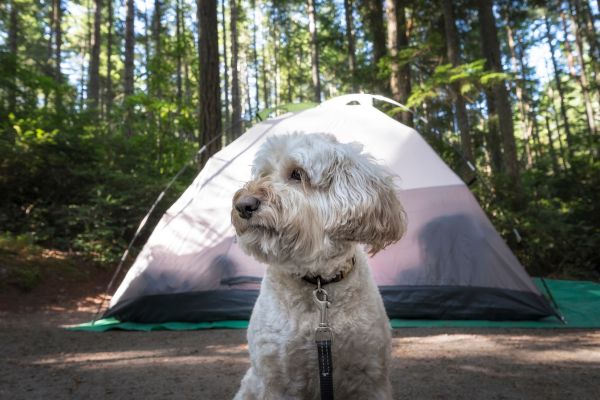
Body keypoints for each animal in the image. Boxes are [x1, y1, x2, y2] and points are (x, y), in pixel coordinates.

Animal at [232, 134, 406, 400]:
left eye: (297, 174)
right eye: (263, 173)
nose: (243, 205)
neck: (318, 282)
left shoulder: (370, 376)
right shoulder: (277, 381)